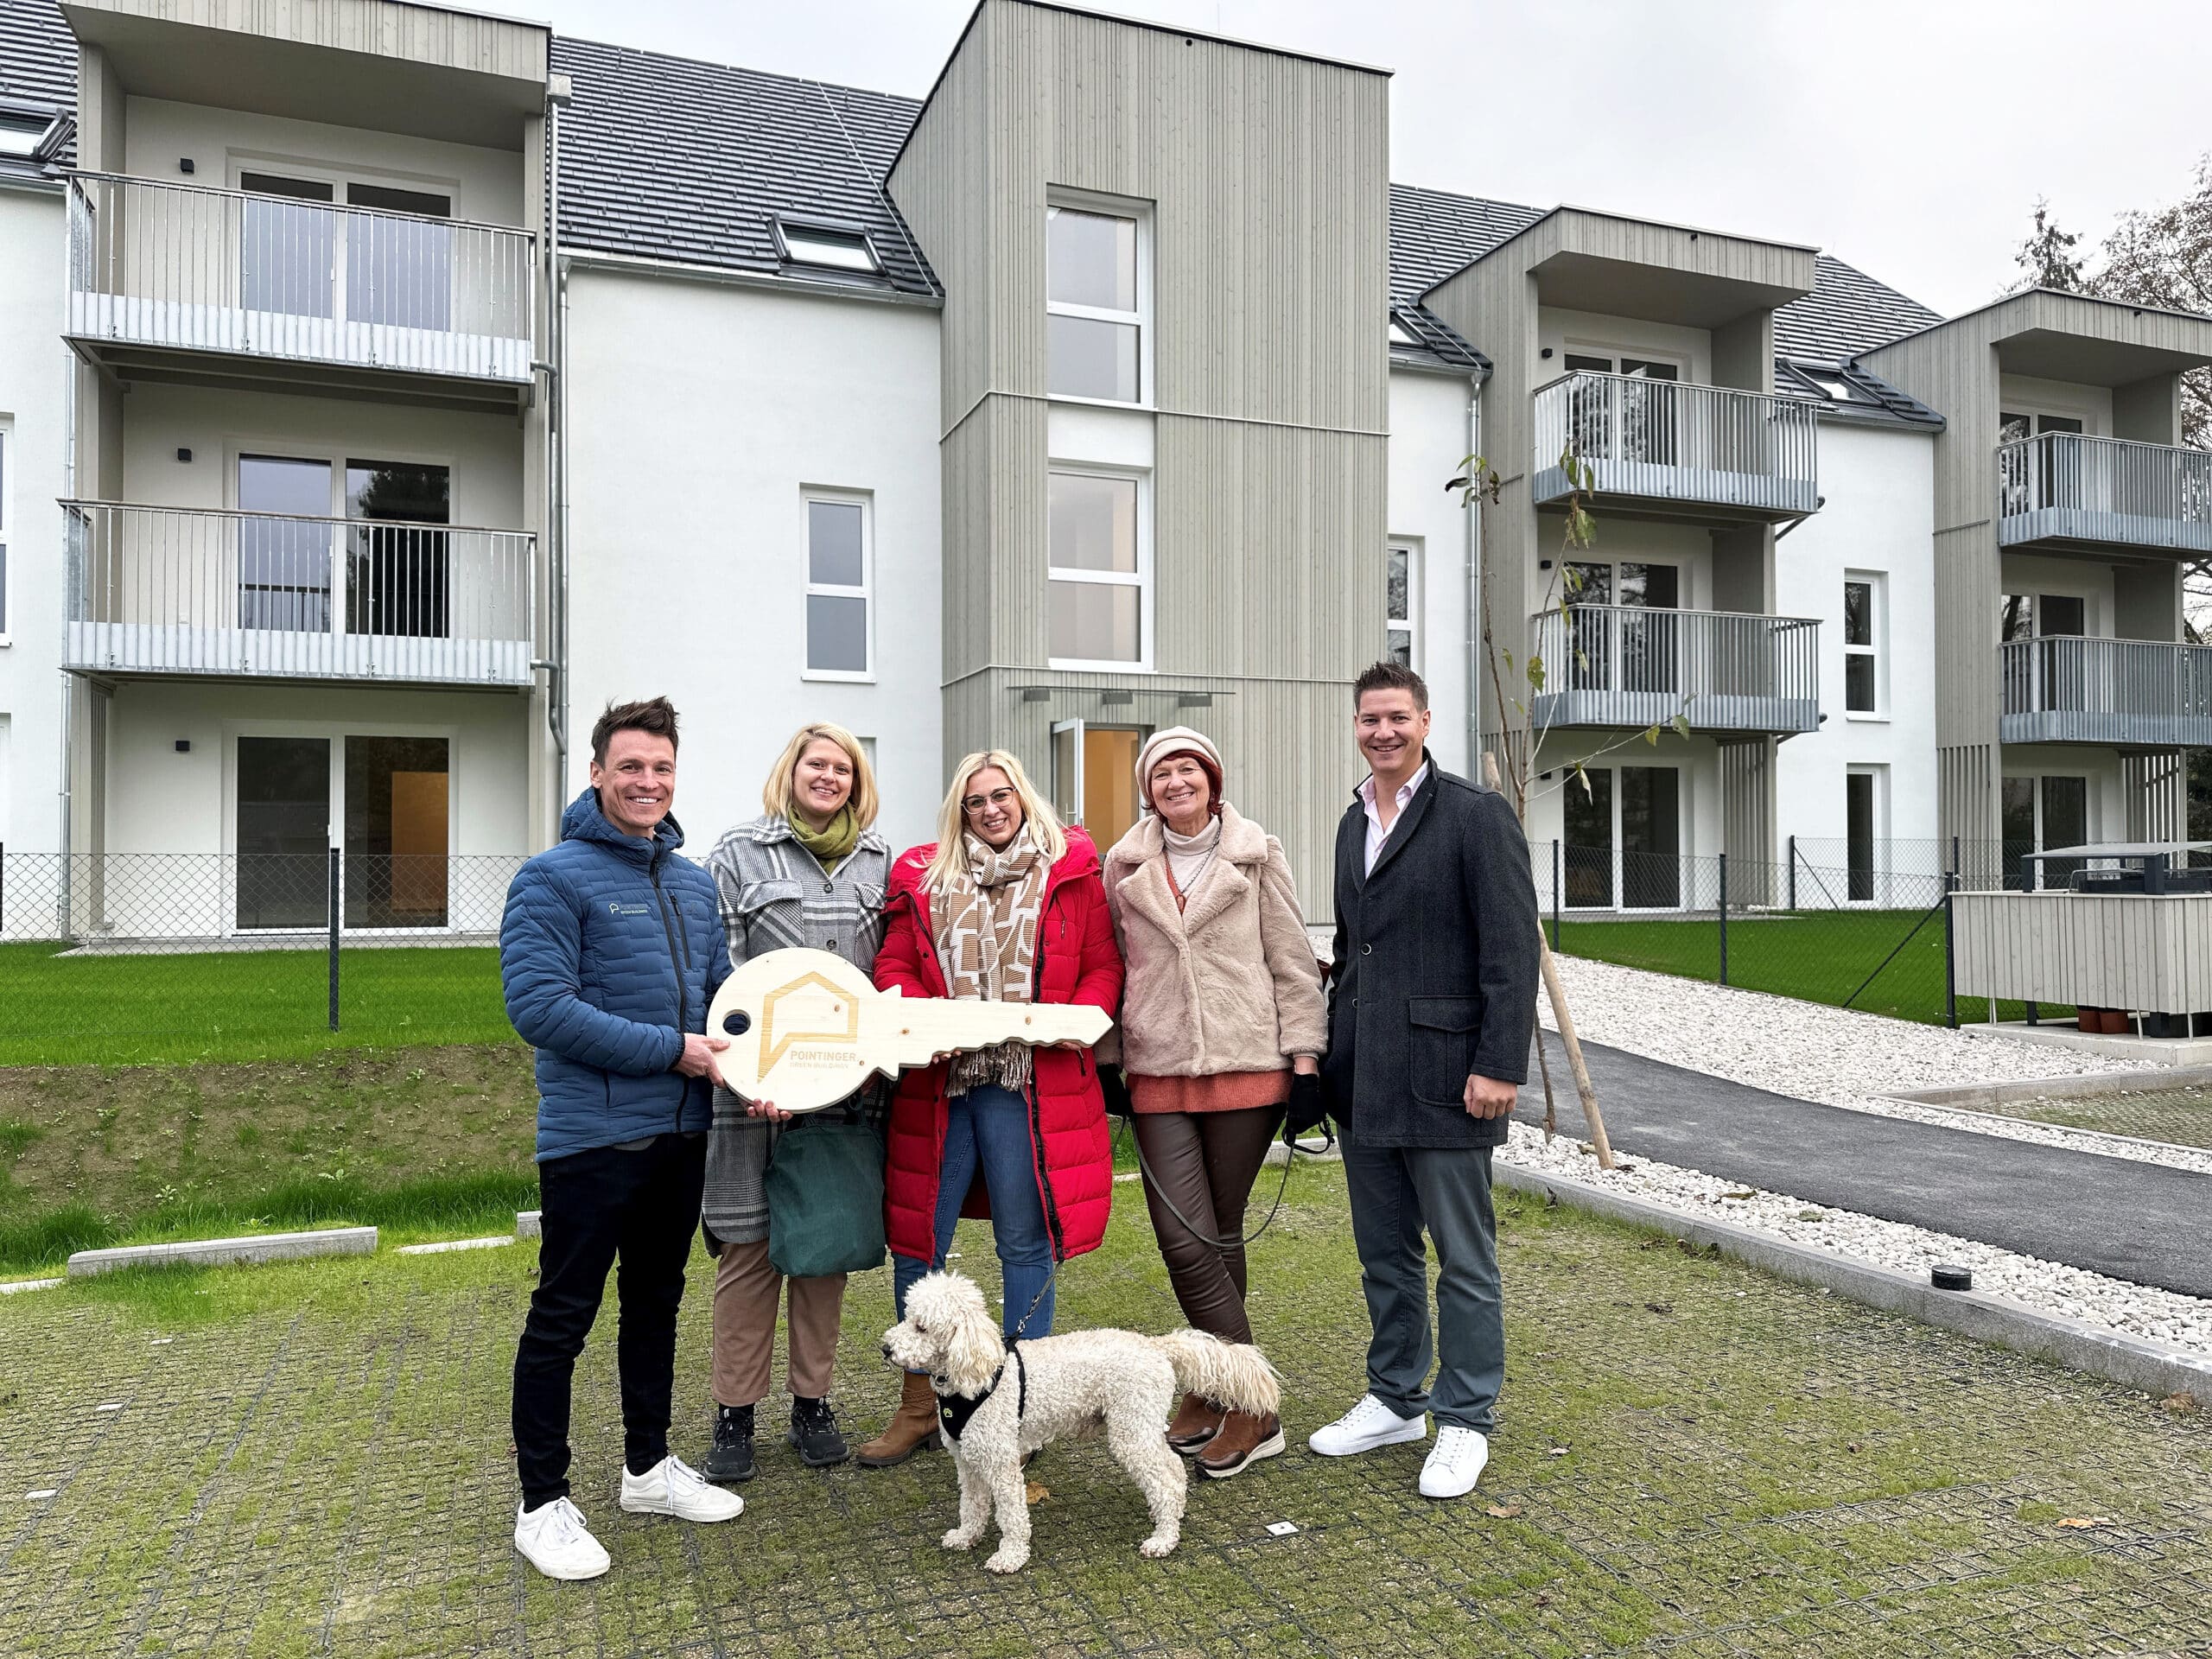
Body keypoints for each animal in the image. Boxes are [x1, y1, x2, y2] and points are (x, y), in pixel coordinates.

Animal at [880, 1265, 1282, 1574]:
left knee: (1166, 1478)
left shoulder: (1002, 1463)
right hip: (1139, 1426)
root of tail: (1155, 1347)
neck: (974, 1376)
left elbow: (1011, 1515)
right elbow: (972, 1505)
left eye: (922, 1327)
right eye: (908, 1316)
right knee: (1172, 1470)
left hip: (1131, 1430)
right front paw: (966, 1536)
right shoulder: (969, 1460)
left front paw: (1010, 1557)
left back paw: (1163, 1538)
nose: (885, 1348)